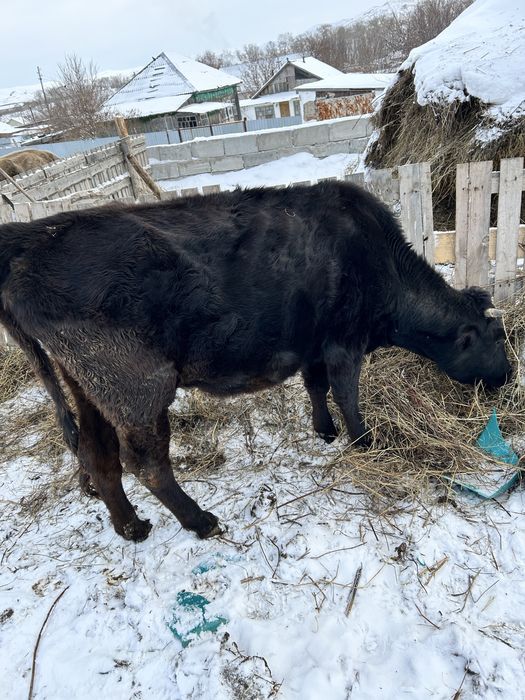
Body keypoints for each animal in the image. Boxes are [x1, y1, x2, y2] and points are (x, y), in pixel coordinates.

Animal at [0, 182, 511, 542]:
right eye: (497, 337)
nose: (508, 376)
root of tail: (34, 239)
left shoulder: (314, 344)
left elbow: (316, 386)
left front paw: (324, 432)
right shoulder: (344, 341)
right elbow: (347, 394)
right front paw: (364, 443)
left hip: (88, 387)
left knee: (97, 453)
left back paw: (131, 527)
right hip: (137, 386)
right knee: (146, 461)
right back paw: (199, 520)